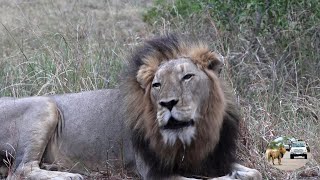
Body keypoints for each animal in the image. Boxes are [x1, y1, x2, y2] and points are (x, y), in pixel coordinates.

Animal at [0, 34, 262, 179]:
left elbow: (255, 172)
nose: (168, 103)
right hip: (45, 105)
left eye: (187, 77)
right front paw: (233, 176)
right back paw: (71, 176)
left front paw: (241, 173)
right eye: (156, 84)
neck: (191, 137)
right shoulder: (152, 171)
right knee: (21, 169)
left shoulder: (213, 158)